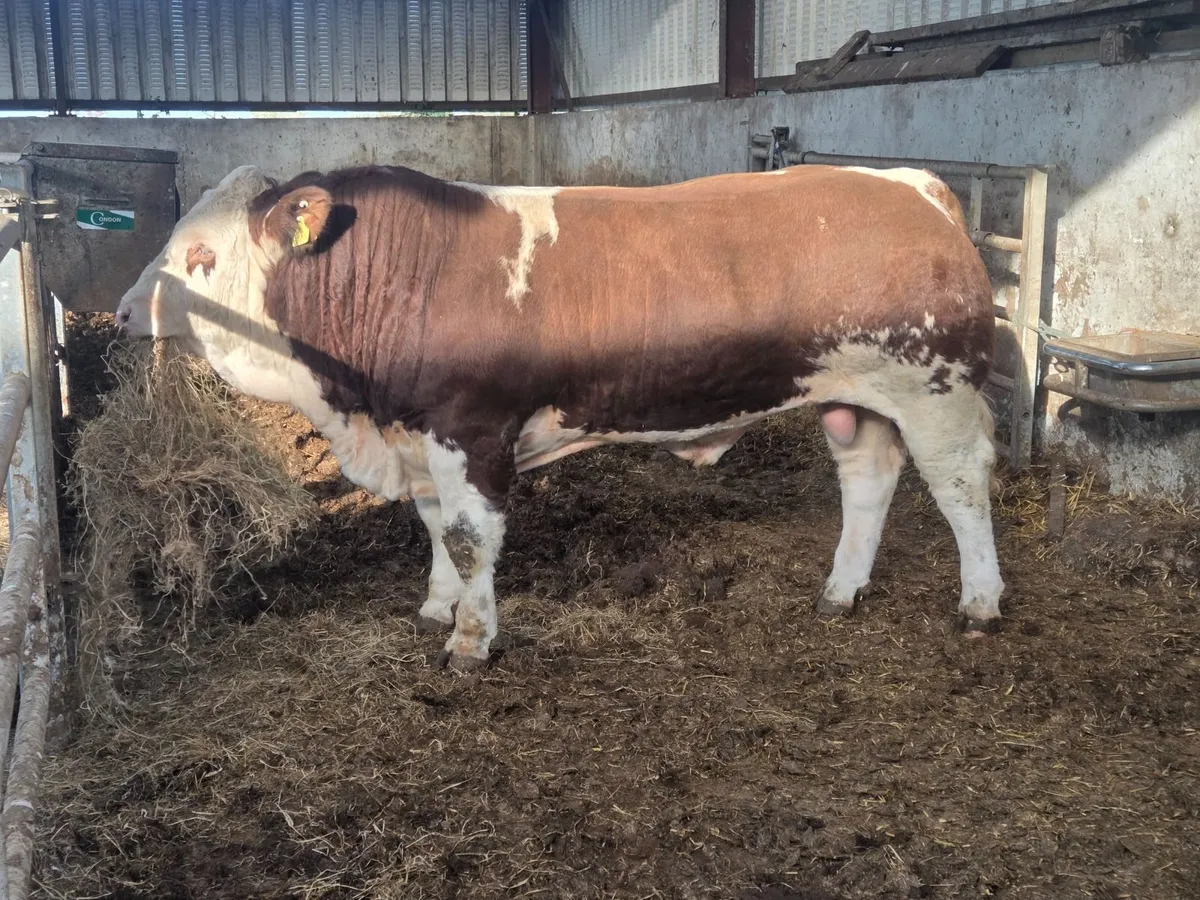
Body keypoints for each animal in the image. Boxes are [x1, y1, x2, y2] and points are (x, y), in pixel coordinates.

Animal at [115, 162, 1005, 672]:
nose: (124, 313)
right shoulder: (418, 435)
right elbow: (435, 528)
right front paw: (437, 606)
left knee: (960, 486)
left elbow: (470, 537)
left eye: (201, 258)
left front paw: (470, 640)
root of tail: (917, 187)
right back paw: (841, 589)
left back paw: (981, 602)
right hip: (856, 396)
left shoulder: (472, 429)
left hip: (937, 390)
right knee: (868, 480)